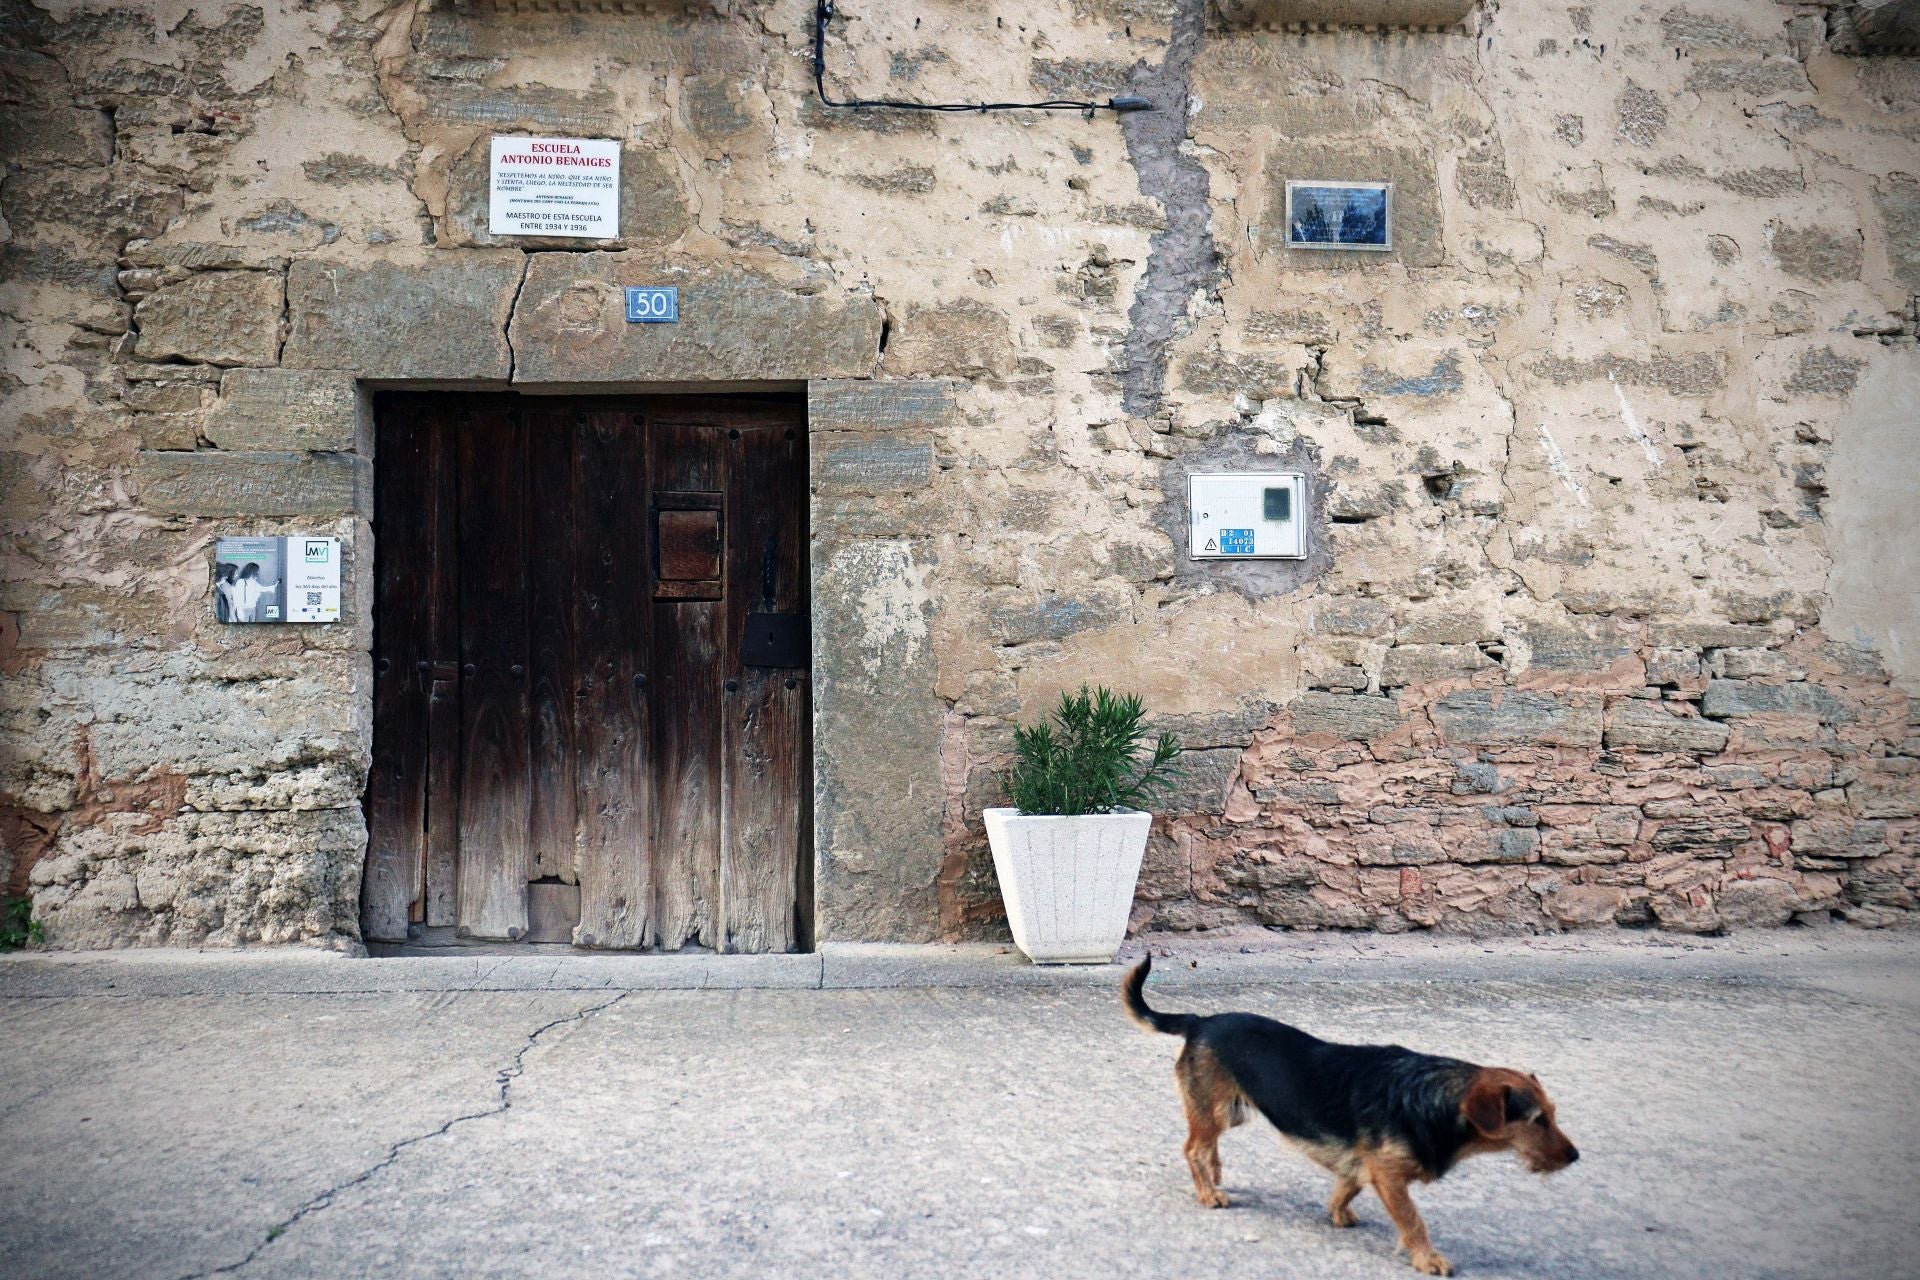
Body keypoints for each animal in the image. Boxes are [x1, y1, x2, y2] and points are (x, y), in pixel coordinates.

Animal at [1121, 955, 1574, 1274]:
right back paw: (1208, 1193)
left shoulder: (1363, 1163)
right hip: (1214, 1109)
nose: (1575, 1156)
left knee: (1207, 1145)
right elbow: (1413, 1221)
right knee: (1194, 1148)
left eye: (1553, 1113)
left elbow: (1347, 1185)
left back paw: (1214, 1177)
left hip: (1230, 1111)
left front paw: (1338, 1212)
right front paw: (1428, 1258)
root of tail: (1200, 1021)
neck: (1430, 1096)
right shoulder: (1389, 1175)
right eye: (1537, 1120)